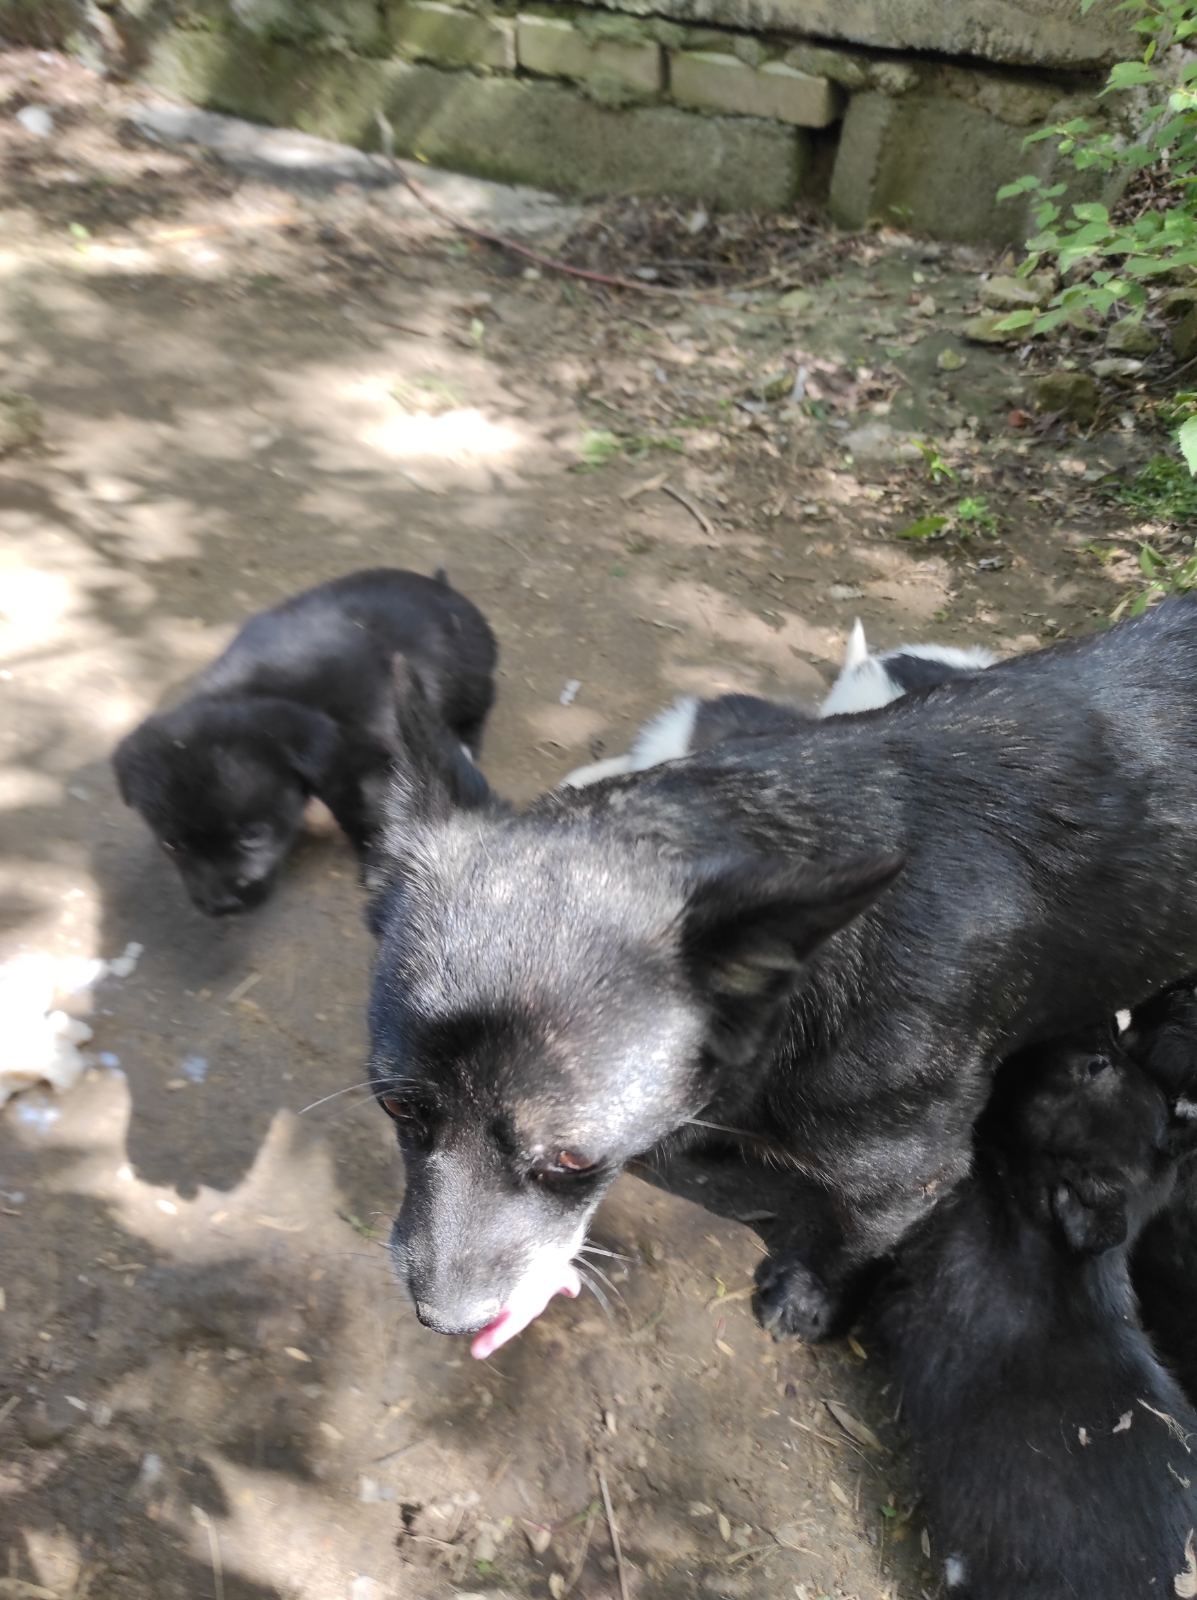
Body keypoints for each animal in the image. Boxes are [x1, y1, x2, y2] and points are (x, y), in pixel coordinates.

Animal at [113, 566, 496, 915]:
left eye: (253, 834)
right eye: (171, 844)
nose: (220, 905)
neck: (258, 689)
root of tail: (440, 584)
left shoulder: (370, 764)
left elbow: (368, 812)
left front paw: (378, 867)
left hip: (470, 677)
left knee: (478, 708)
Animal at [364, 601, 1197, 1350]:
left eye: (574, 1159)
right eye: (396, 1107)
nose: (444, 1321)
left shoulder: (909, 1177)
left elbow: (857, 1238)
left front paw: (810, 1295)